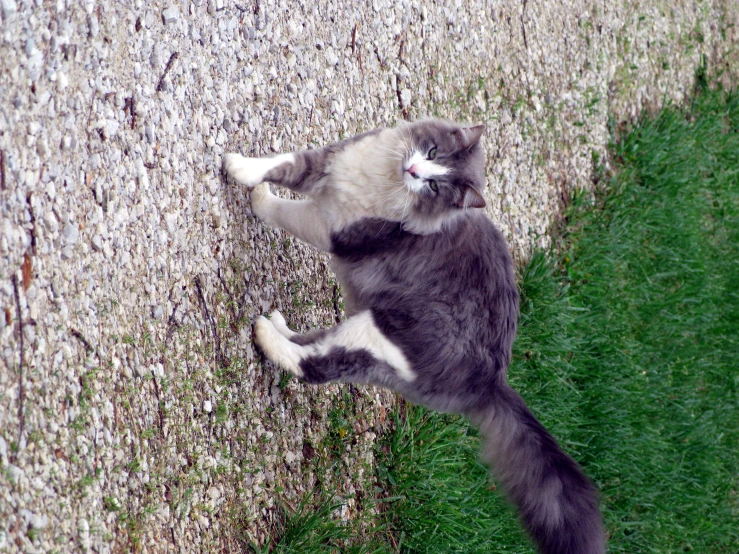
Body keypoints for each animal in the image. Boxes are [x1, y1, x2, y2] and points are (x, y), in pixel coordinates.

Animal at [223, 121, 604, 552]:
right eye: (434, 152)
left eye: (435, 187)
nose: (415, 170)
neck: (383, 181)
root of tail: (494, 380)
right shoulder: (332, 161)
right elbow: (282, 163)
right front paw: (242, 169)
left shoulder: (334, 228)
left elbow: (285, 211)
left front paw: (258, 199)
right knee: (313, 342)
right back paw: (278, 323)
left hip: (376, 334)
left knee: (316, 363)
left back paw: (264, 334)